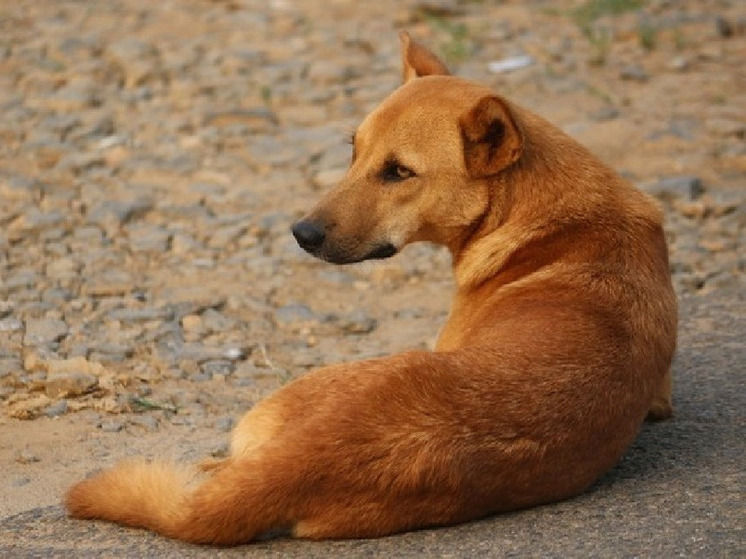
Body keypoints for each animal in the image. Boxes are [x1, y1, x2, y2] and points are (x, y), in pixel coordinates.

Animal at [67, 31, 676, 548]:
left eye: (399, 172)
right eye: (352, 151)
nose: (302, 234)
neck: (547, 219)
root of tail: (304, 461)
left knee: (216, 468)